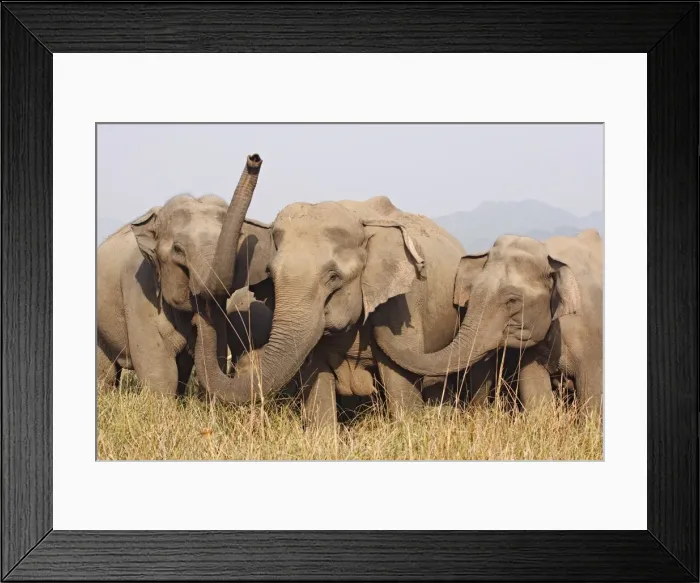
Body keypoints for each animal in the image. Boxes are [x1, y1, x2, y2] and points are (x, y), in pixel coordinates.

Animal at [97, 154, 274, 396]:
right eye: (178, 250)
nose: (254, 159)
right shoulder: (139, 289)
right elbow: (159, 369)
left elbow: (214, 350)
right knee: (104, 370)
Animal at [192, 166, 469, 429]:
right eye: (270, 273)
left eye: (334, 277)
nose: (254, 158)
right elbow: (316, 381)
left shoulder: (403, 304)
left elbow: (399, 383)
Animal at [374, 230, 603, 415]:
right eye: (473, 291)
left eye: (512, 301)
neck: (549, 255)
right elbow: (536, 395)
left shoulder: (593, 335)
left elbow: (592, 396)